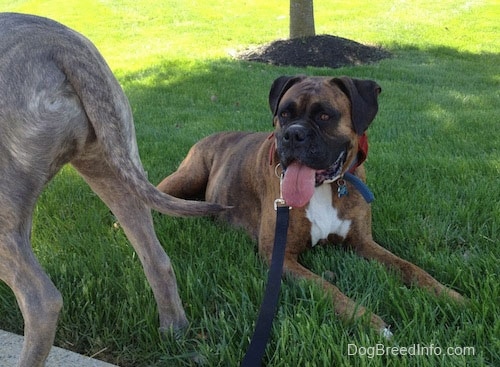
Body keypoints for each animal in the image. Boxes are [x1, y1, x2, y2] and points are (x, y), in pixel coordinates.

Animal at [158, 76, 462, 338]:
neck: (325, 188)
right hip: (186, 177)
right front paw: (368, 320)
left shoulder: (363, 242)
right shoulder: (280, 256)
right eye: (284, 115)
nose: (293, 135)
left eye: (325, 116)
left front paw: (451, 296)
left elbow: (410, 267)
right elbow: (325, 286)